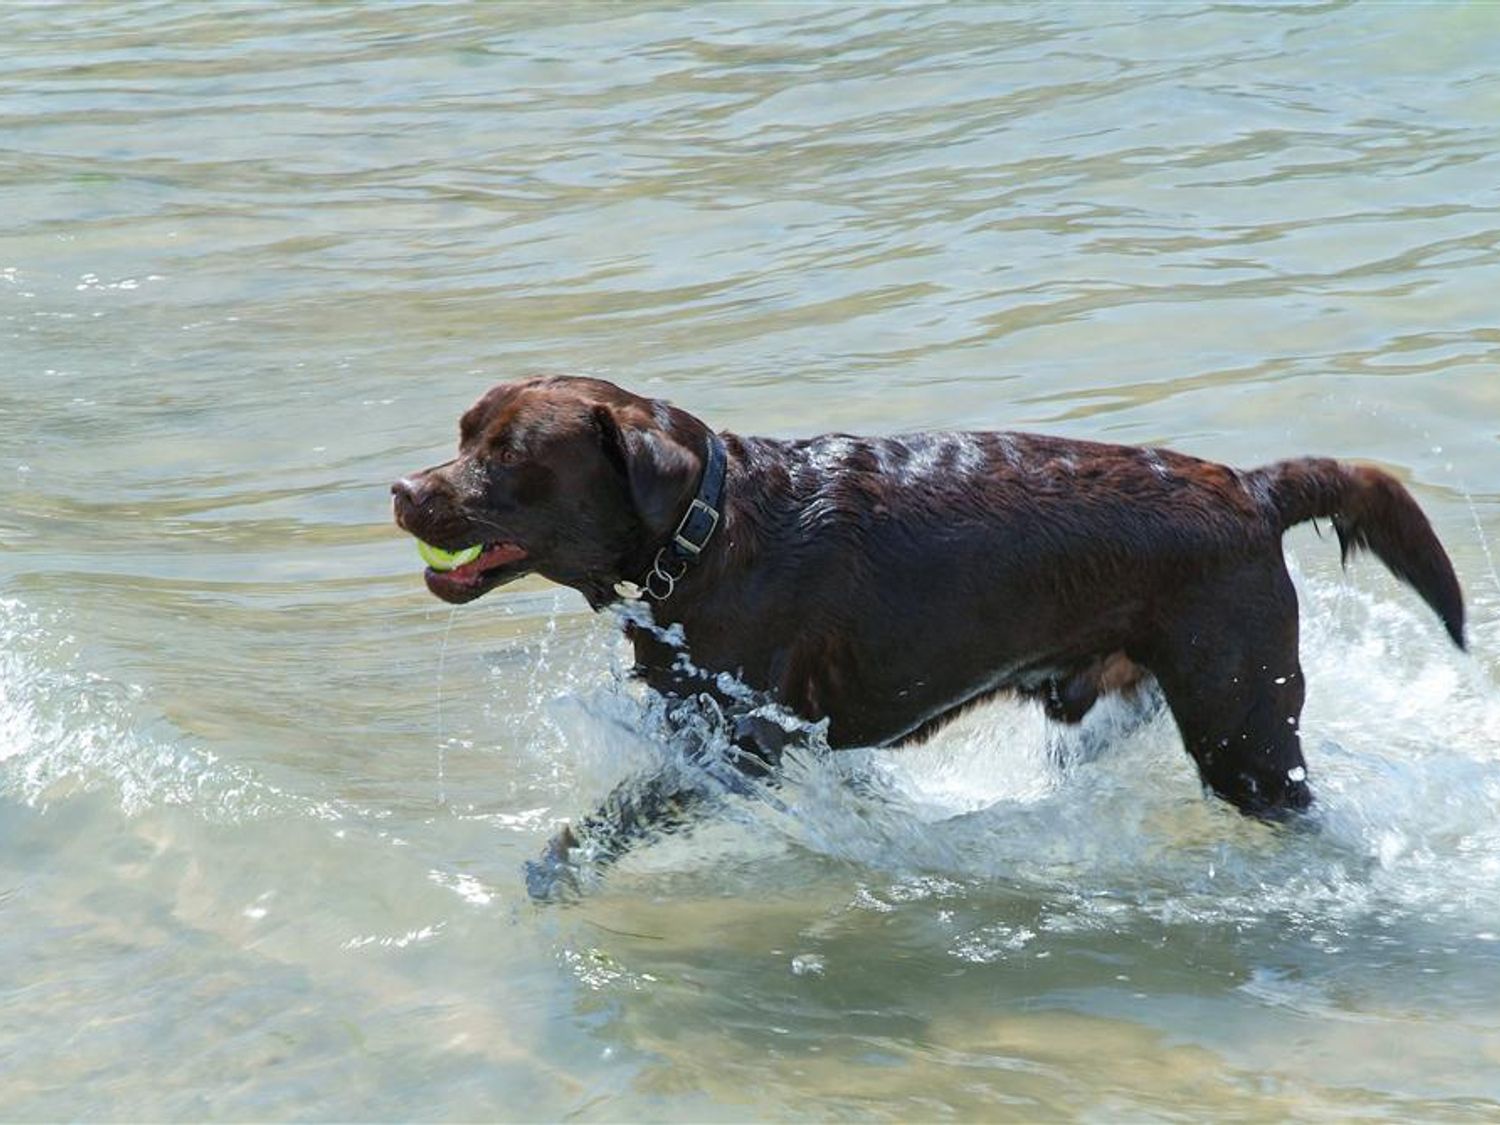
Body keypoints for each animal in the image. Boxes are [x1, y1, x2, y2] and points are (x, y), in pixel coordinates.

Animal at [390, 379, 1464, 900]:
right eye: (462, 432)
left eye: (507, 456)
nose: (403, 489)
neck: (702, 534)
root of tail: (1252, 486)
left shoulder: (735, 745)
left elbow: (600, 824)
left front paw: (551, 873)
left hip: (1243, 729)